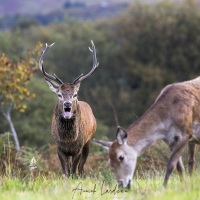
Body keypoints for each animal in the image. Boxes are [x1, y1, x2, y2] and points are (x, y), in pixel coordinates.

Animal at [38, 40, 99, 177]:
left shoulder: (79, 147)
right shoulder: (59, 148)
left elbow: (74, 170)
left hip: (89, 141)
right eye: (59, 94)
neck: (68, 141)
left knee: (81, 168)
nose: (67, 104)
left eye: (75, 94)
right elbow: (65, 171)